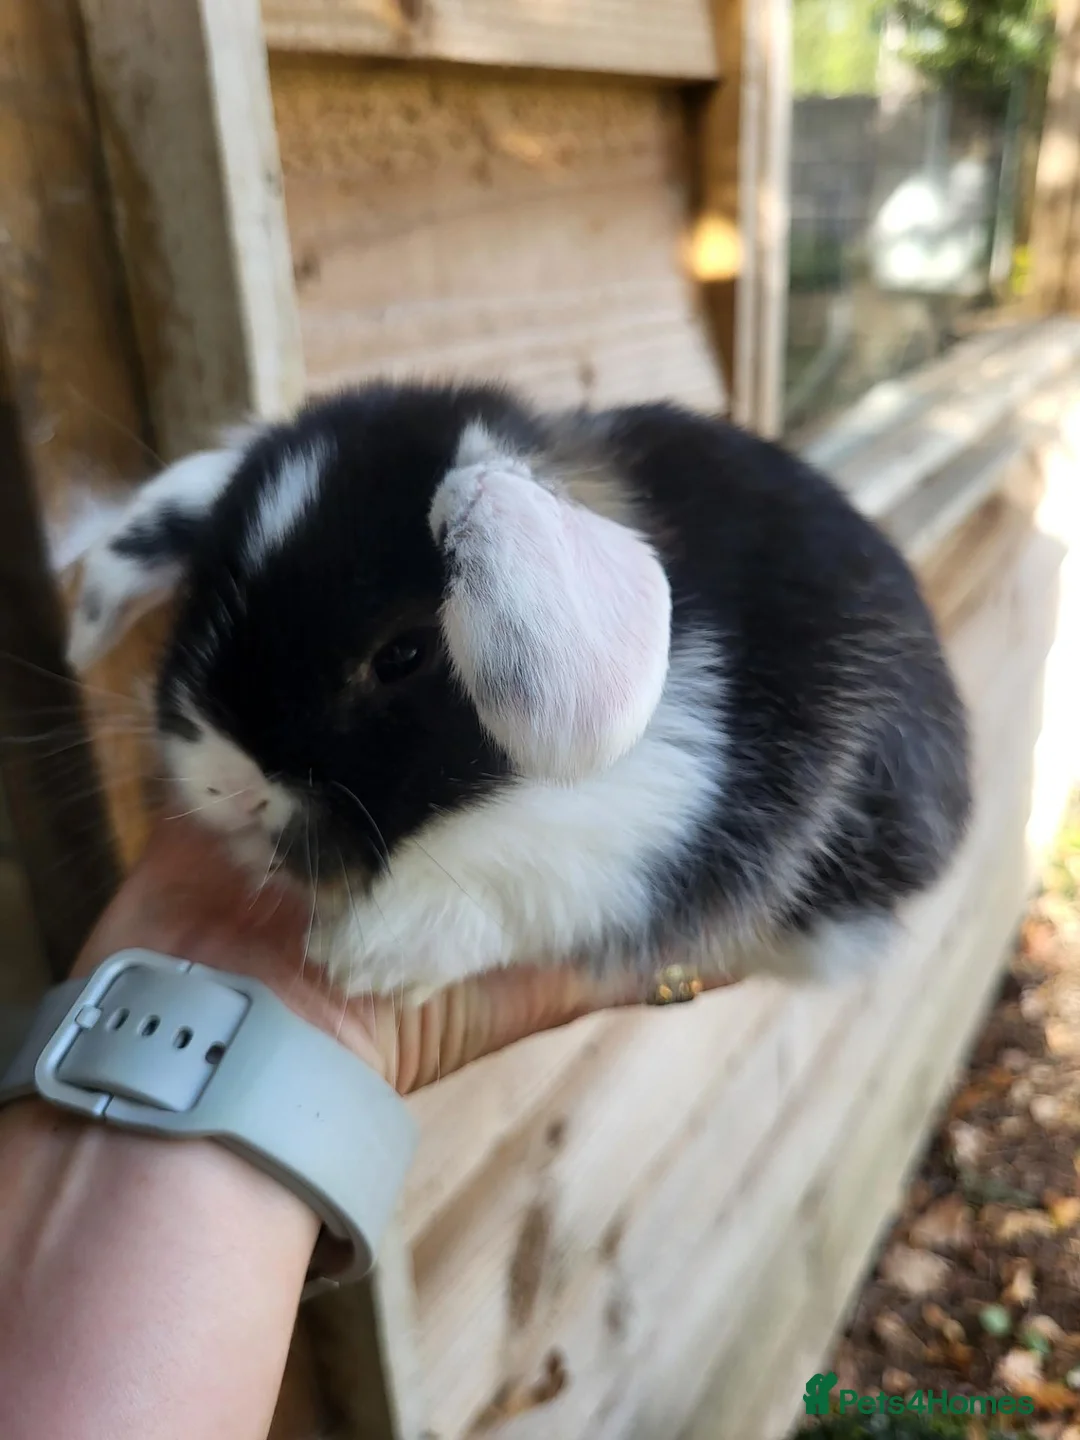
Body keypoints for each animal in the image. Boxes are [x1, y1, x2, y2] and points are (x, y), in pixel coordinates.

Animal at [66, 381, 971, 1000]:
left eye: (402, 653)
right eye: (195, 605)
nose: (228, 786)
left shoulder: (640, 828)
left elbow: (505, 888)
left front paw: (367, 957)